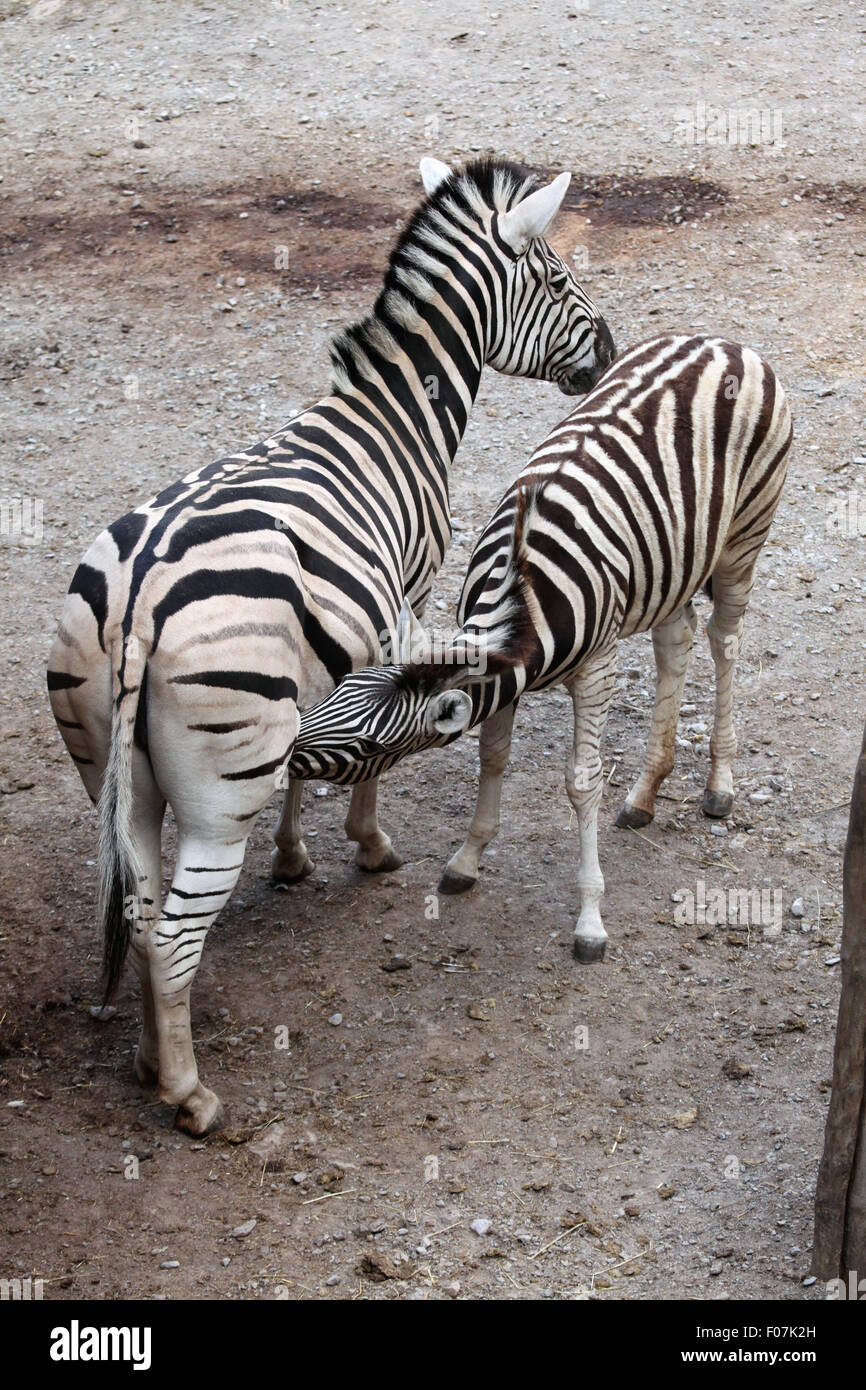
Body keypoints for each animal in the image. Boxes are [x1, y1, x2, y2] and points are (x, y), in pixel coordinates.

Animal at [47, 156, 616, 1135]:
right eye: (553, 278)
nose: (611, 348)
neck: (395, 414)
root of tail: (139, 597)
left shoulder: (320, 655)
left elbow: (313, 751)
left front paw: (295, 854)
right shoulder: (407, 596)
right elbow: (376, 738)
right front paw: (367, 843)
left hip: (109, 771)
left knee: (142, 909)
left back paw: (150, 1061)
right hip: (217, 789)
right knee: (174, 935)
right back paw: (190, 1095)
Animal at [288, 333, 793, 963]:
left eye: (367, 745)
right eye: (335, 695)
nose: (284, 755)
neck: (520, 601)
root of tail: (724, 342)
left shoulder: (597, 669)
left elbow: (582, 782)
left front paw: (590, 918)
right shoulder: (501, 675)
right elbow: (492, 757)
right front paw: (466, 861)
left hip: (744, 536)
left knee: (725, 643)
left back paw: (719, 784)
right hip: (671, 563)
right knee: (677, 640)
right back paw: (645, 792)